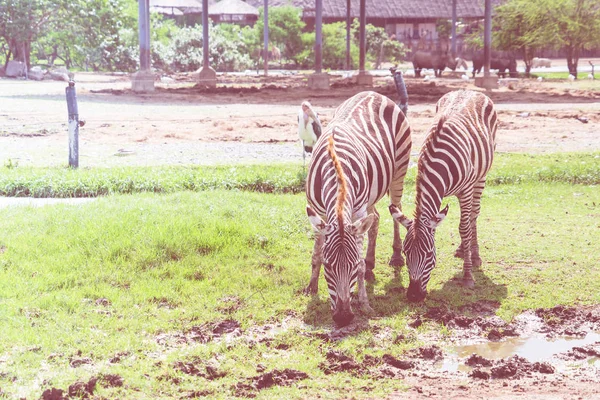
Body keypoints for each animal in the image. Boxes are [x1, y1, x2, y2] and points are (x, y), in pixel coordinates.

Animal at [304, 91, 412, 328]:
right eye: (328, 266)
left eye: (352, 266)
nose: (343, 318)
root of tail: (373, 93)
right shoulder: (319, 212)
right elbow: (316, 253)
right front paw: (311, 286)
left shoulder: (357, 212)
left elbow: (360, 263)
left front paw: (364, 302)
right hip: (372, 192)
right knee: (377, 218)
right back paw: (371, 263)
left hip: (398, 172)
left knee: (396, 211)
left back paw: (396, 256)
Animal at [390, 90, 496, 302]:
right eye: (406, 252)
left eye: (429, 254)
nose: (413, 296)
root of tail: (468, 90)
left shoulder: (466, 190)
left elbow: (464, 228)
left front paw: (468, 276)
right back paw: (463, 249)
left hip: (481, 177)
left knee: (473, 215)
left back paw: (474, 254)